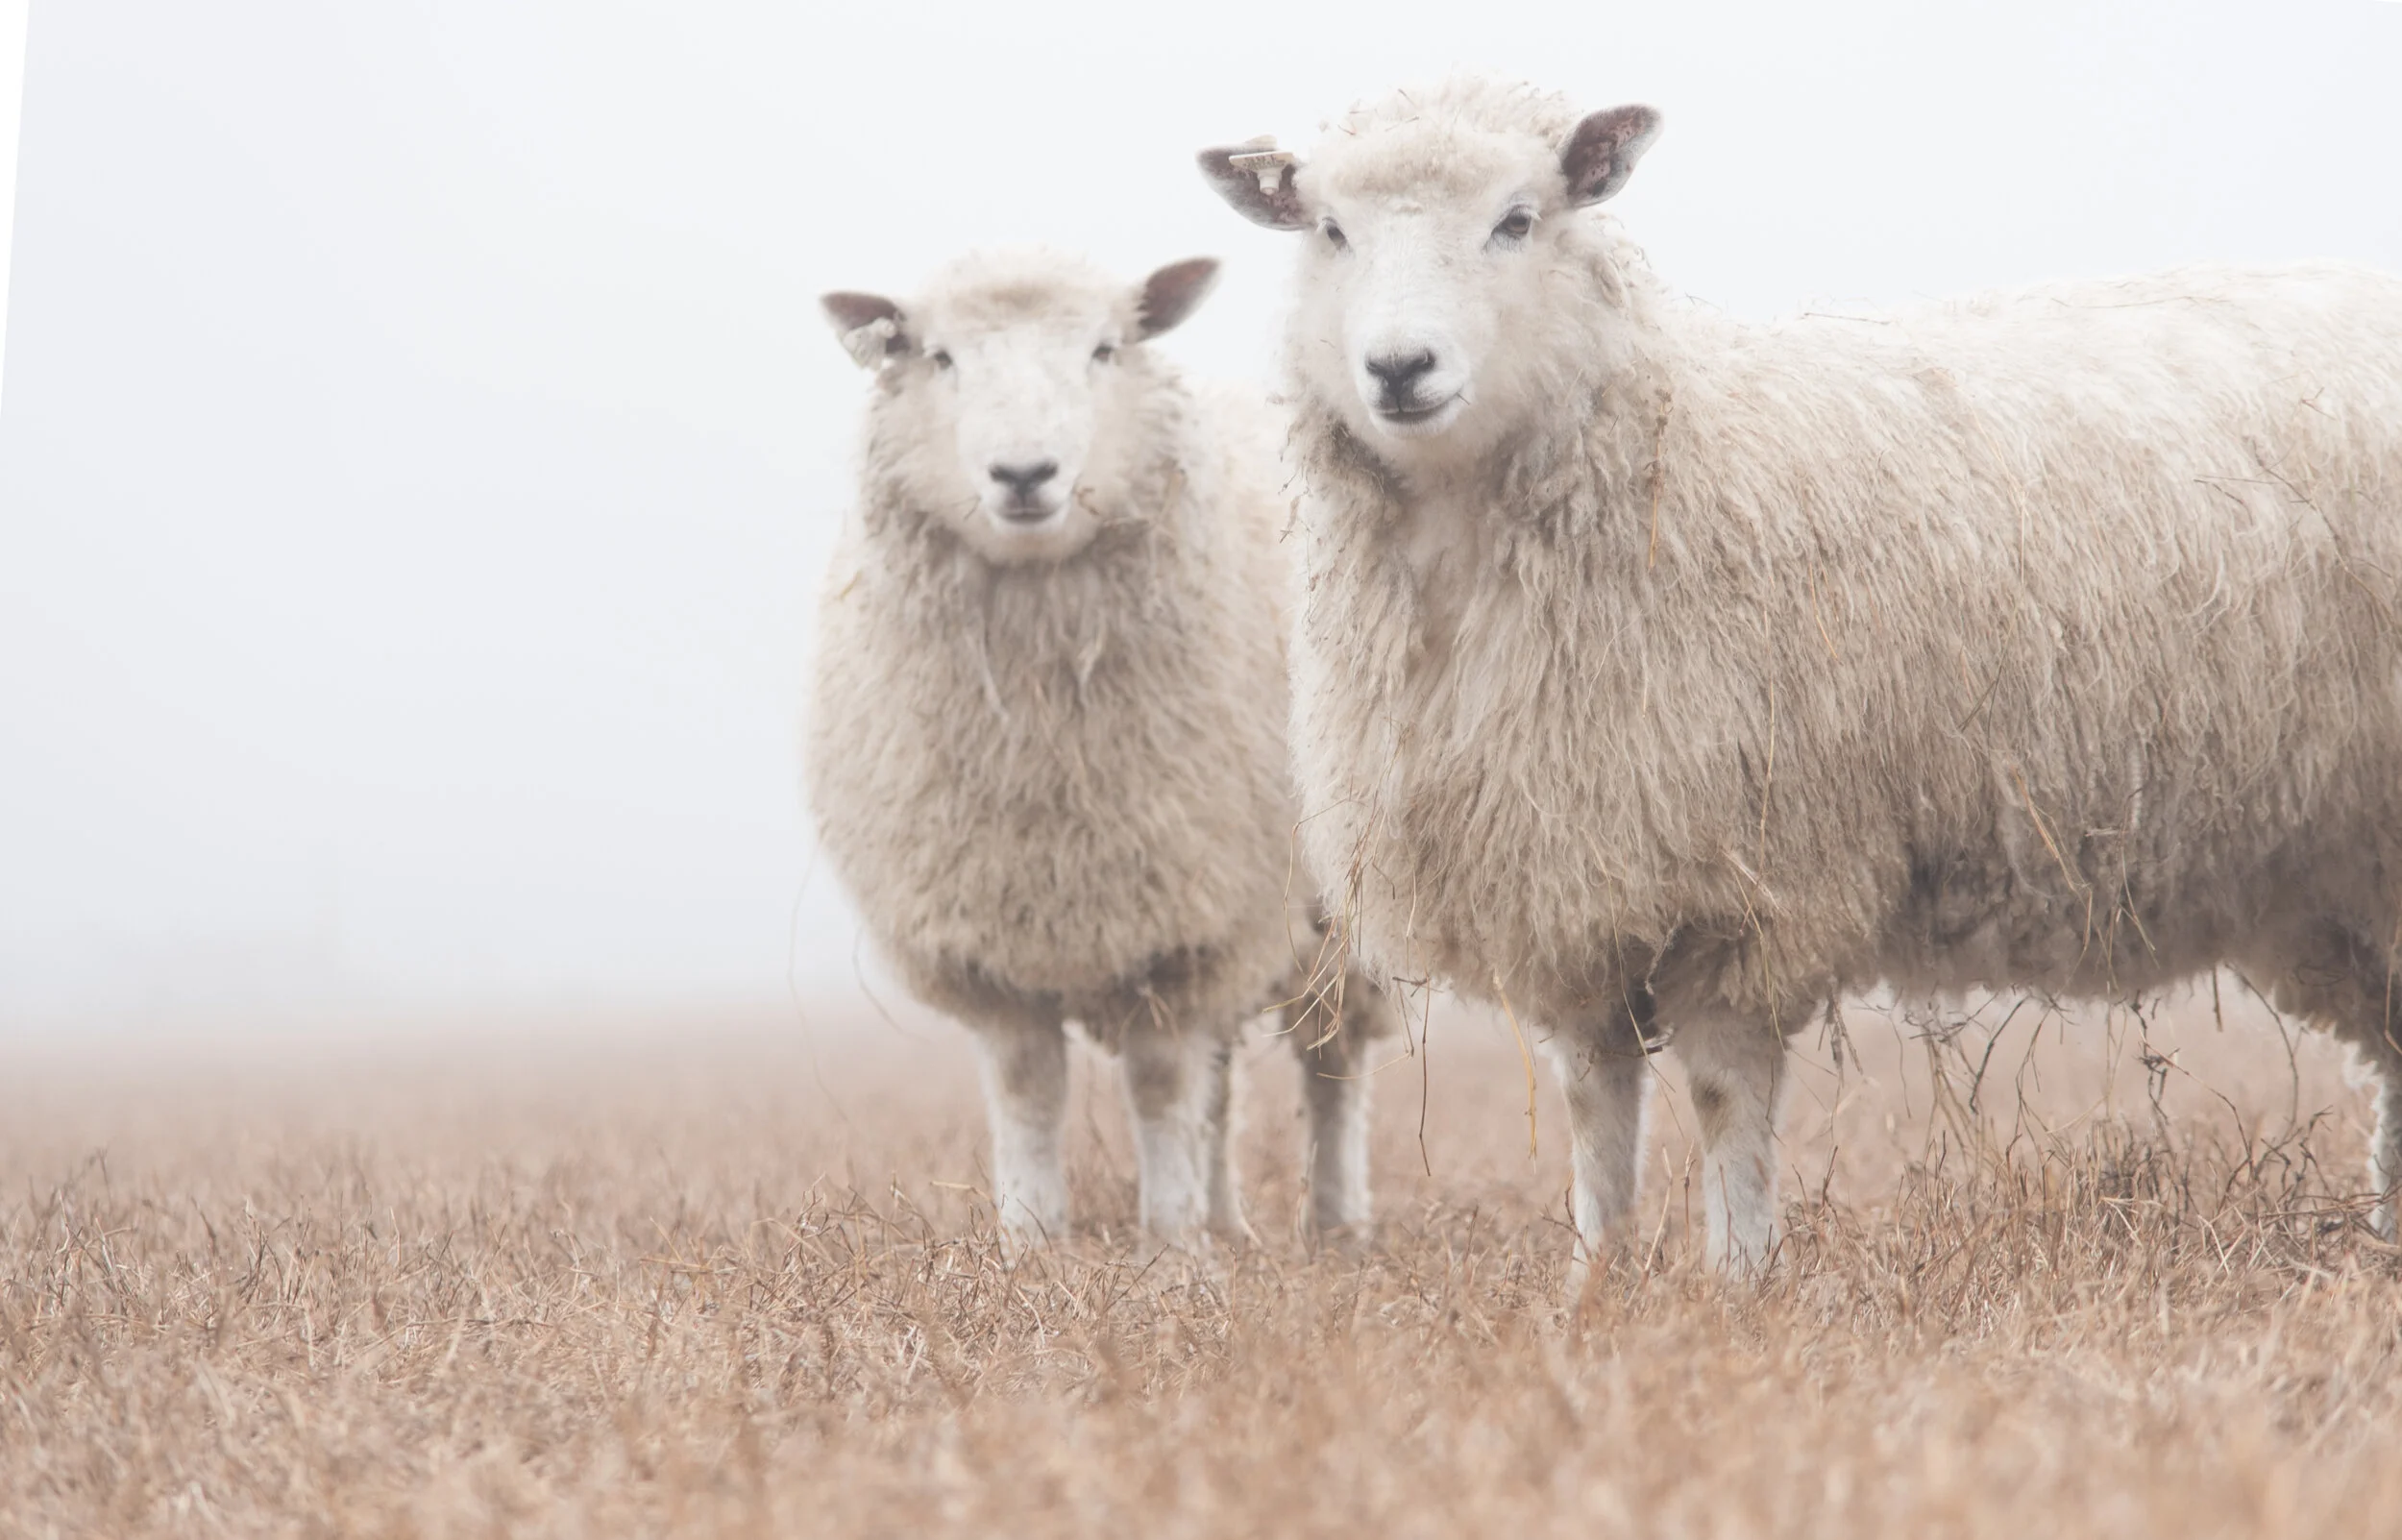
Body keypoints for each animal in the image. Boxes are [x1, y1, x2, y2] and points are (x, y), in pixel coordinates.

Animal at [810, 247, 1394, 1247]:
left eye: (1104, 349)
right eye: (939, 356)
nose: (1023, 473)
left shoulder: (1186, 919)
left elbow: (1159, 1083)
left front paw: (1168, 1242)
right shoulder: (991, 939)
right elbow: (1030, 1089)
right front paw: (1032, 1239)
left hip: (1327, 911)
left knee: (1330, 1060)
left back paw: (1333, 1220)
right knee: (1223, 1076)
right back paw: (1228, 1220)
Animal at [1199, 76, 2402, 1272]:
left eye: (1517, 220)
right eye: (1329, 230)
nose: (1400, 369)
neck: (1658, 452)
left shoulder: (1750, 872)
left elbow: (1725, 1093)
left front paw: (1738, 1276)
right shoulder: (1573, 874)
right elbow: (1594, 1098)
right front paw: (1601, 1273)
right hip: (2324, 871)